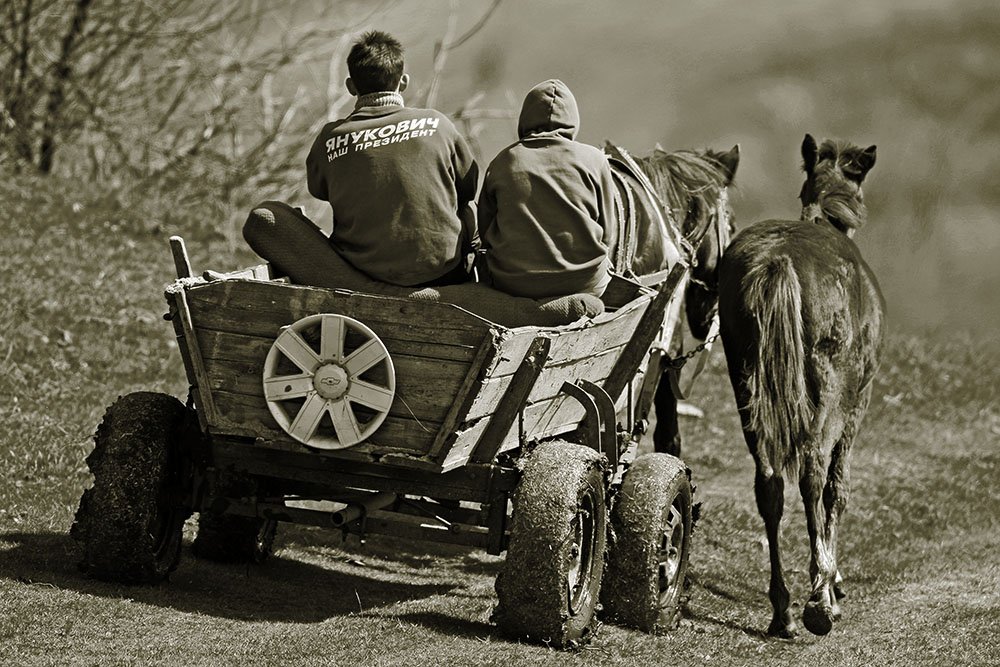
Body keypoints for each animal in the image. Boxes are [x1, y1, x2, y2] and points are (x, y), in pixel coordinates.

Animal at [716, 134, 888, 636]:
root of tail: (777, 261)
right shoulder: (859, 401)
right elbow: (837, 489)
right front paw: (835, 581)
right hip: (831, 389)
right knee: (812, 470)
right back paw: (817, 601)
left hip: (745, 384)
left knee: (768, 484)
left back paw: (782, 610)